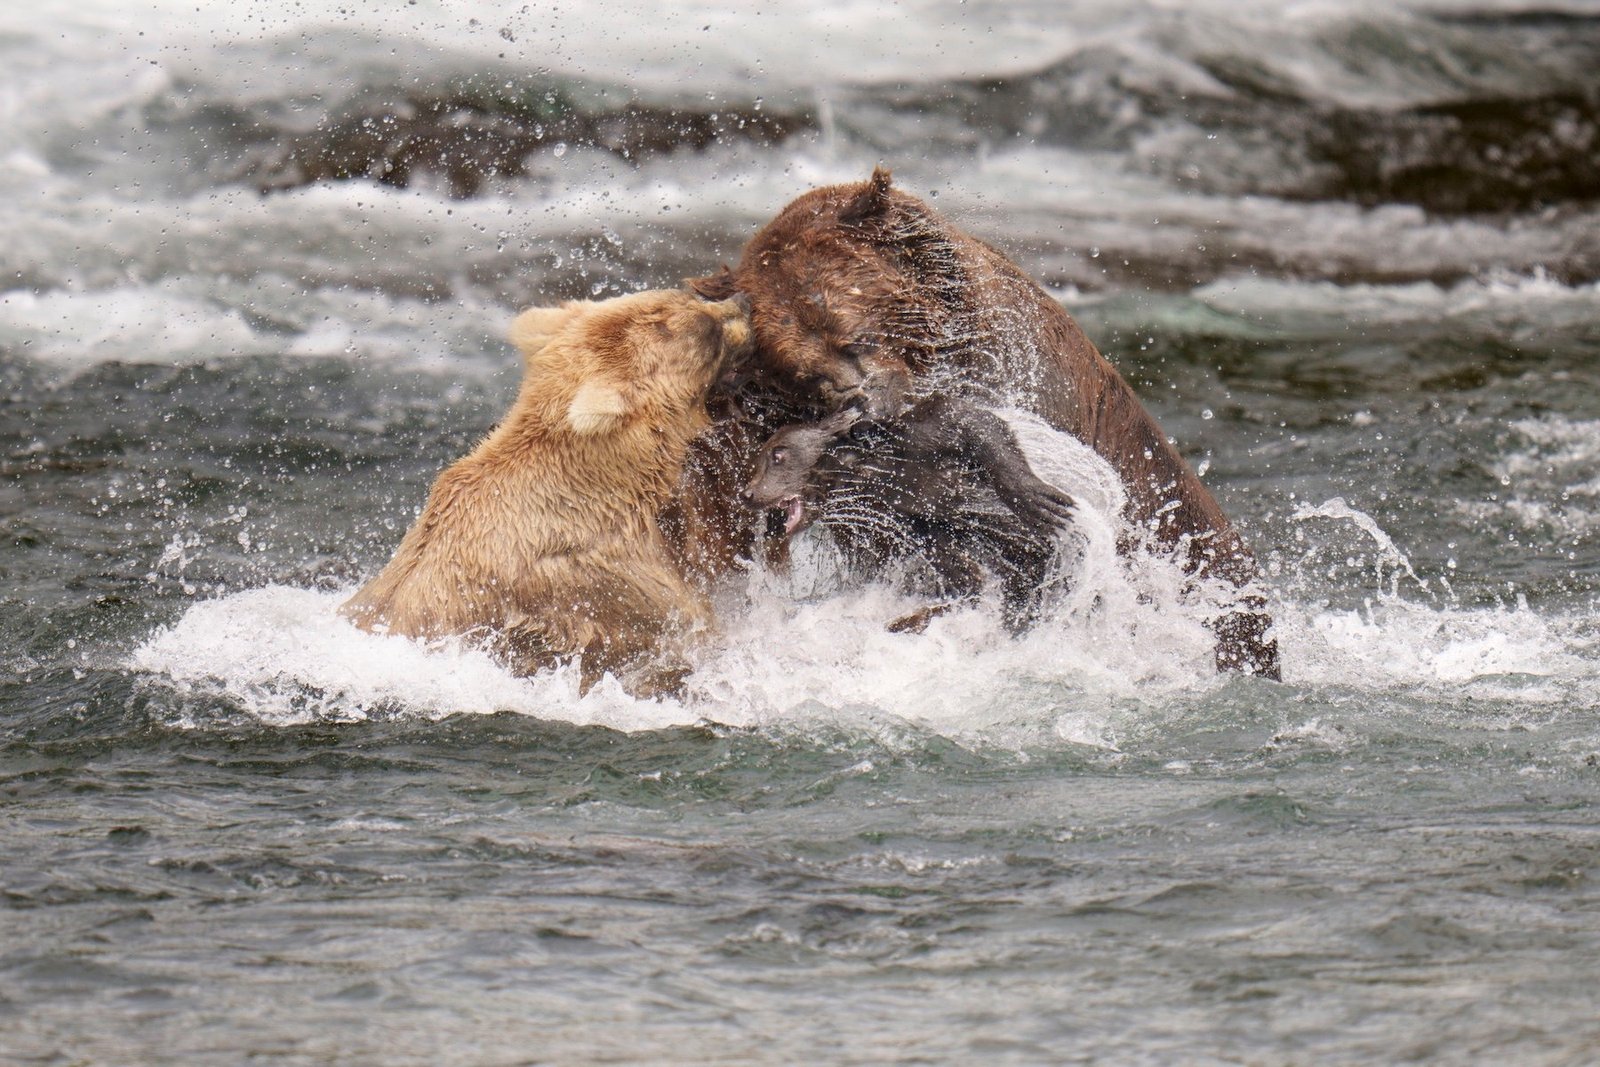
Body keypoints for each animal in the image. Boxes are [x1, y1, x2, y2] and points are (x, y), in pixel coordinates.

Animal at [742, 397, 1075, 630]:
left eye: (778, 454)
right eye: (758, 461)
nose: (748, 493)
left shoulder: (917, 438)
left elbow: (969, 419)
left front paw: (1035, 498)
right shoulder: (918, 525)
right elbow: (966, 579)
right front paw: (907, 620)